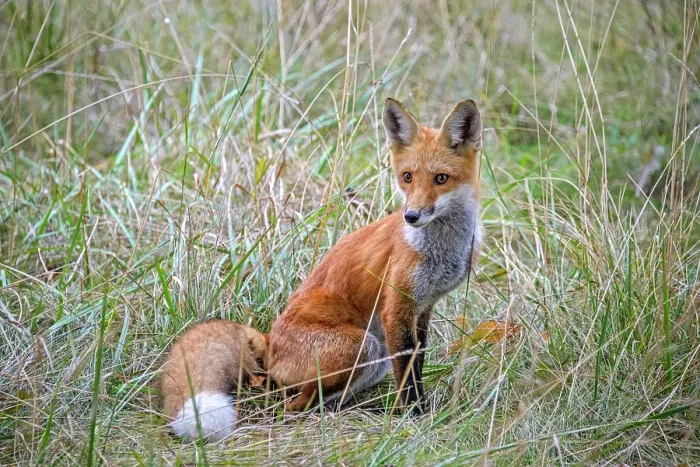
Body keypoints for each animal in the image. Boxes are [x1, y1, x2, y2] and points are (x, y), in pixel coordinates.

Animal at [160, 97, 482, 439]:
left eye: (440, 179)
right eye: (407, 176)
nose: (411, 216)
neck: (441, 250)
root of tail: (268, 341)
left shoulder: (422, 307)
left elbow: (416, 364)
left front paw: (416, 411)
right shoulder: (397, 308)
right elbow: (408, 376)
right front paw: (414, 415)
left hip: (375, 359)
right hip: (363, 346)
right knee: (292, 404)